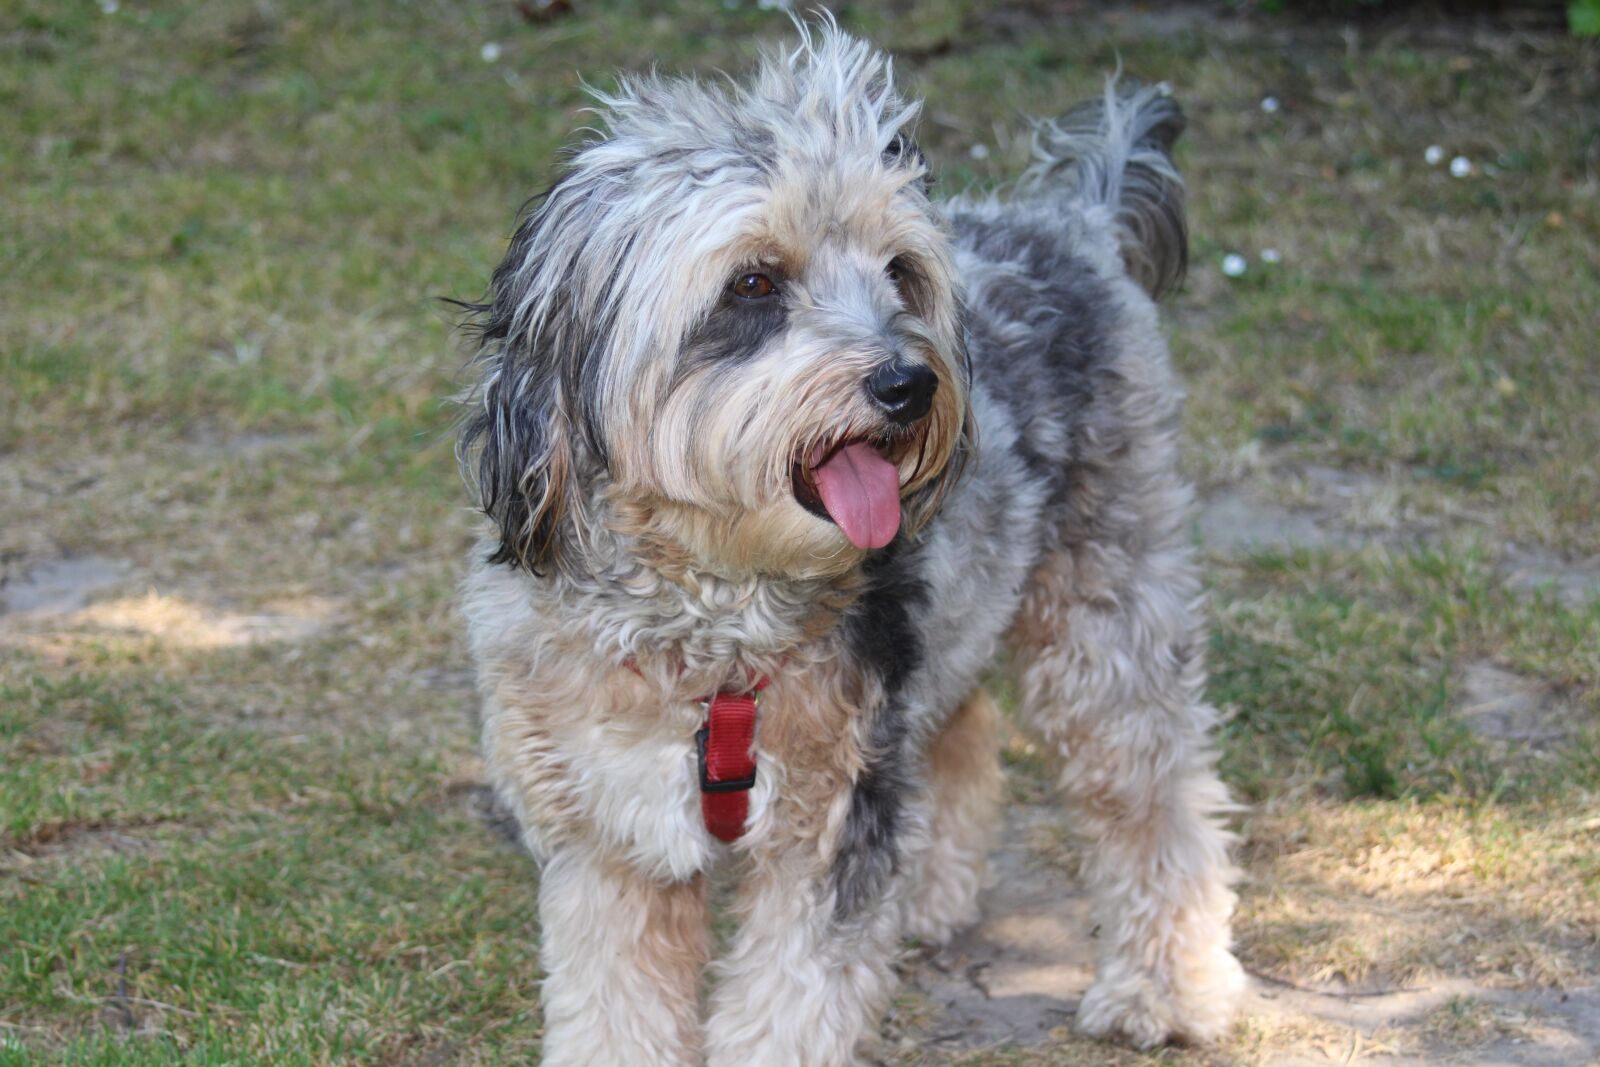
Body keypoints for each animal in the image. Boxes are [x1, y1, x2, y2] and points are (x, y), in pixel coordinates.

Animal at [457, 18, 1241, 1067]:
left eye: (897, 271)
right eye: (754, 282)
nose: (910, 384)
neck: (714, 629)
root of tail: (1073, 222)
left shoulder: (831, 821)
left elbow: (789, 1002)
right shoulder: (611, 836)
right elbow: (614, 1004)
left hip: (1106, 612)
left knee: (1154, 795)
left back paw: (1167, 987)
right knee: (963, 724)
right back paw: (934, 893)